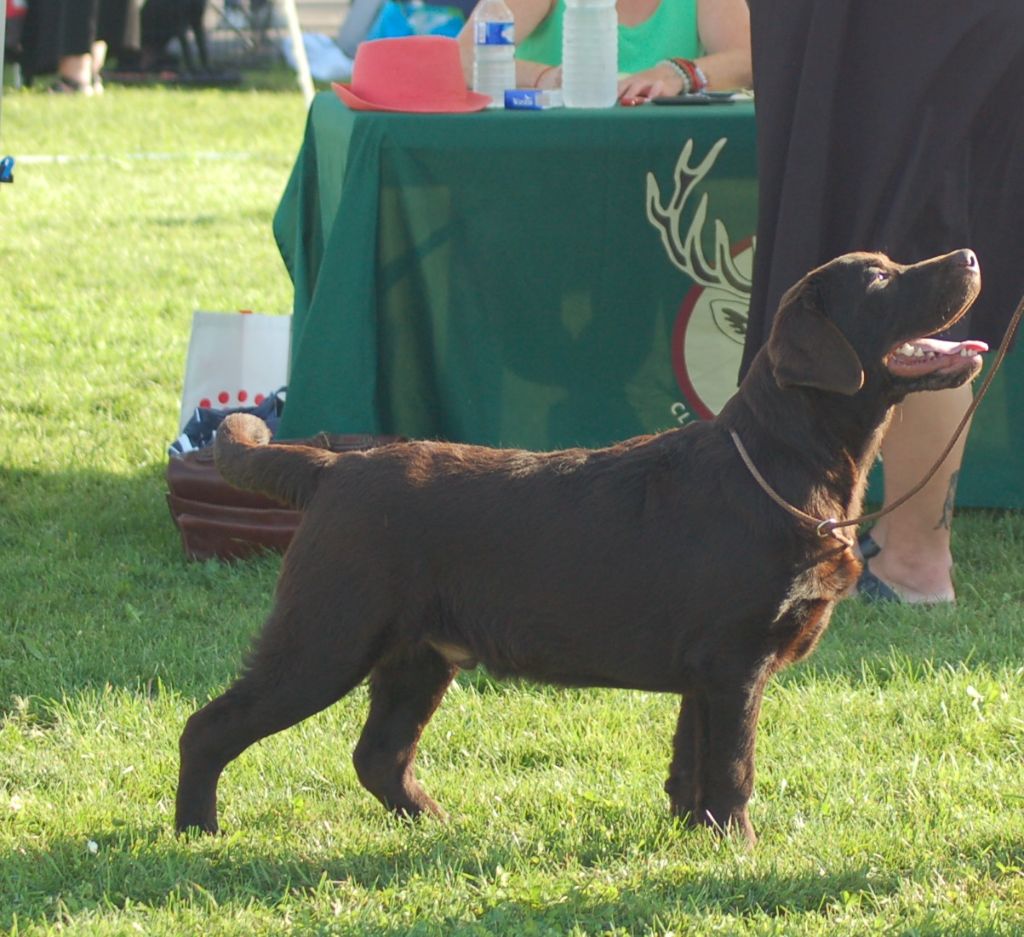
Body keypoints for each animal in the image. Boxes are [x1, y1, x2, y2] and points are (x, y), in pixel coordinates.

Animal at [174, 247, 983, 843]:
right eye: (880, 279)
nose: (971, 255)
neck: (785, 462)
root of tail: (334, 466)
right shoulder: (735, 660)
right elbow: (733, 766)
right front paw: (742, 848)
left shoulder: (704, 670)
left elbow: (691, 764)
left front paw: (694, 840)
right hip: (328, 634)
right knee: (209, 727)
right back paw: (197, 831)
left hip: (420, 651)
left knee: (379, 755)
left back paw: (436, 823)